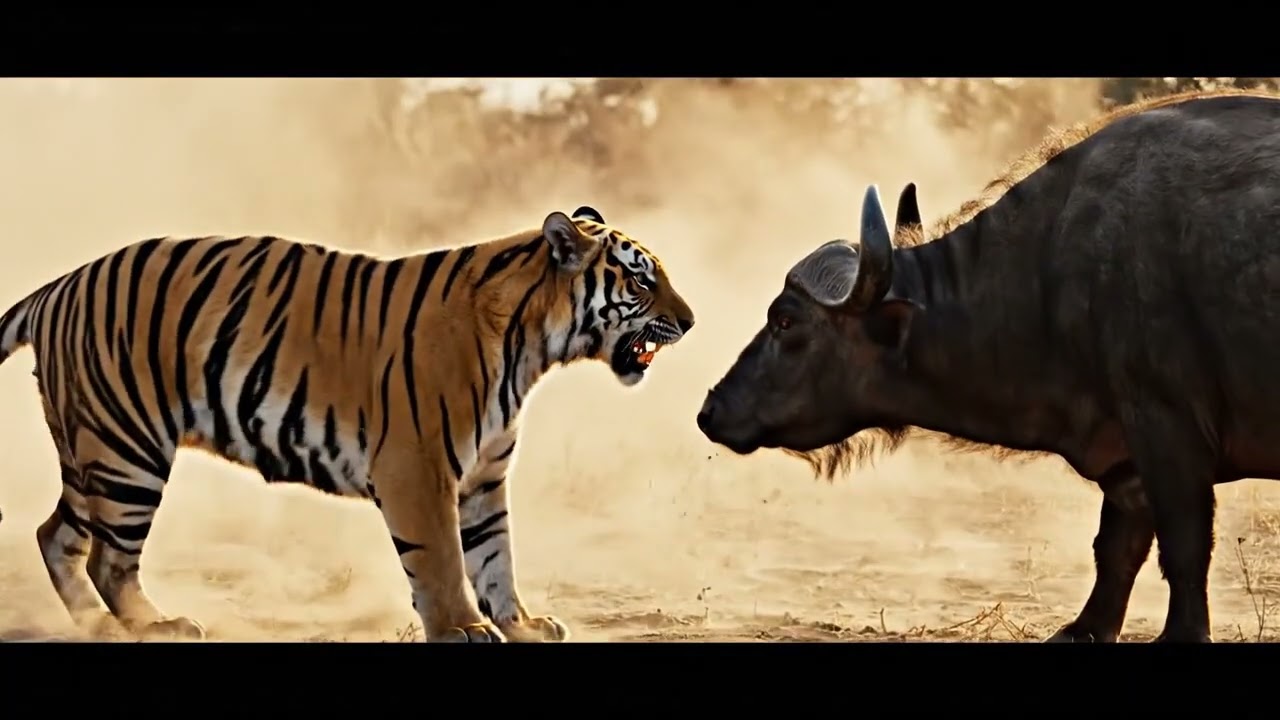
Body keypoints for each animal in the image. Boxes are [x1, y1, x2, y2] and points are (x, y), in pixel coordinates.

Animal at [0, 205, 696, 643]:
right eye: (640, 279)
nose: (690, 322)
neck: (532, 346)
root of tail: (58, 286)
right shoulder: (419, 469)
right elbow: (442, 560)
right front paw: (463, 628)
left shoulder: (482, 479)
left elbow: (495, 558)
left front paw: (522, 625)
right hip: (128, 450)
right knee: (108, 560)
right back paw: (157, 626)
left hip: (94, 446)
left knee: (56, 536)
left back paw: (96, 627)